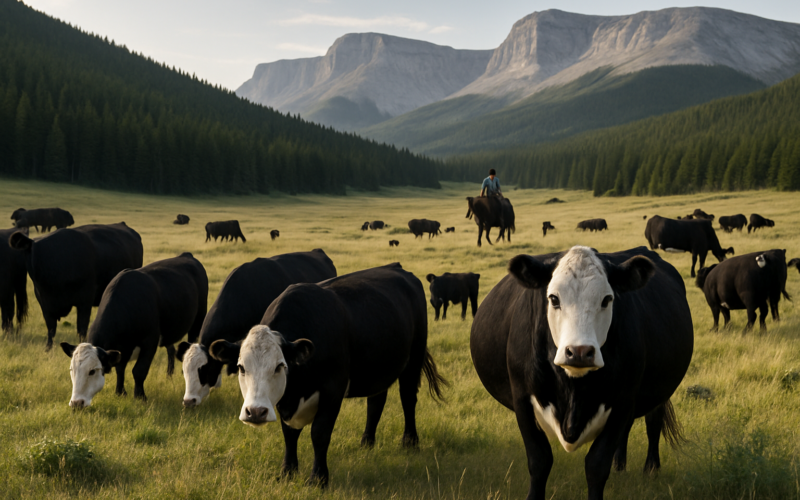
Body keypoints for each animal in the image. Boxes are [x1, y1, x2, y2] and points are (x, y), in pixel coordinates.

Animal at [60, 253, 208, 407]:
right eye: (72, 369)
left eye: (92, 371)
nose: (76, 403)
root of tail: (186, 255)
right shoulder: (121, 349)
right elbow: (120, 369)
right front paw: (120, 392)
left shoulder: (149, 342)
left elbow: (139, 371)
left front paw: (140, 396)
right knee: (171, 349)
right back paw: (169, 374)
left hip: (198, 319)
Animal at [209, 264, 447, 487]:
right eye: (241, 367)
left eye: (279, 366)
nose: (255, 412)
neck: (297, 389)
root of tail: (397, 268)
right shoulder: (285, 402)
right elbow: (289, 434)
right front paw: (287, 472)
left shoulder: (333, 389)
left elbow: (319, 433)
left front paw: (319, 478)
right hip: (378, 369)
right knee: (376, 402)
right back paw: (367, 441)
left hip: (414, 358)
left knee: (408, 398)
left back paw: (410, 441)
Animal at [471, 246, 693, 500]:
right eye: (553, 298)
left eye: (607, 299)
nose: (579, 352)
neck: (573, 391)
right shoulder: (522, 399)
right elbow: (539, 461)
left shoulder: (623, 400)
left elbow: (597, 465)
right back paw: (620, 465)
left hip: (659, 391)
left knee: (653, 422)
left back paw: (651, 468)